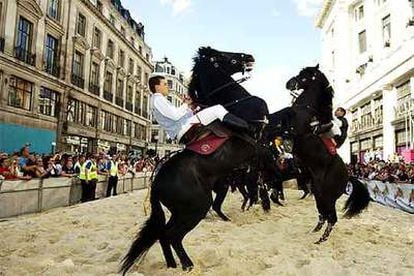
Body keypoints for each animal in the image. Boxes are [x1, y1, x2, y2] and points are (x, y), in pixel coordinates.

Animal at [119, 47, 272, 274]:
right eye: (222, 56)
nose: (248, 57)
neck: (237, 104)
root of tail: (156, 184)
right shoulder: (257, 141)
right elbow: (268, 155)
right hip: (196, 206)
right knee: (173, 235)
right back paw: (188, 264)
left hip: (180, 211)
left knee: (163, 234)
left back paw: (173, 265)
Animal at [266, 66, 370, 244]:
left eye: (305, 76)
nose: (289, 84)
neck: (306, 109)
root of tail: (348, 176)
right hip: (319, 193)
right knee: (323, 214)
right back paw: (314, 231)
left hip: (327, 195)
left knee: (332, 217)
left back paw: (321, 239)